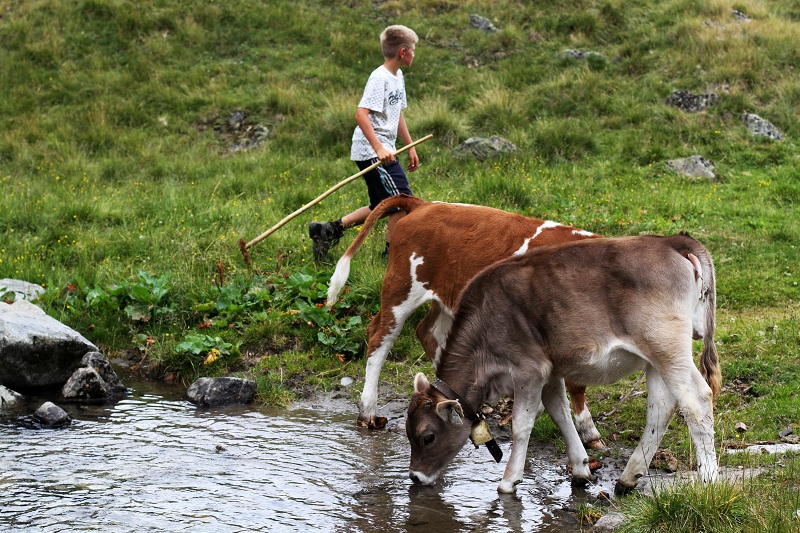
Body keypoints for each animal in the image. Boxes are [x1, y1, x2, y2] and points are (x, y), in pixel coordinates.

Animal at [406, 235, 720, 492]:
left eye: (428, 437)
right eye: (408, 434)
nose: (415, 478)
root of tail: (671, 240)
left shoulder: (529, 368)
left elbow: (522, 424)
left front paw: (509, 480)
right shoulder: (551, 370)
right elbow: (560, 413)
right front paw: (581, 469)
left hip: (666, 346)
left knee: (697, 400)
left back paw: (709, 478)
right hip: (655, 357)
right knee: (661, 408)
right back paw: (628, 478)